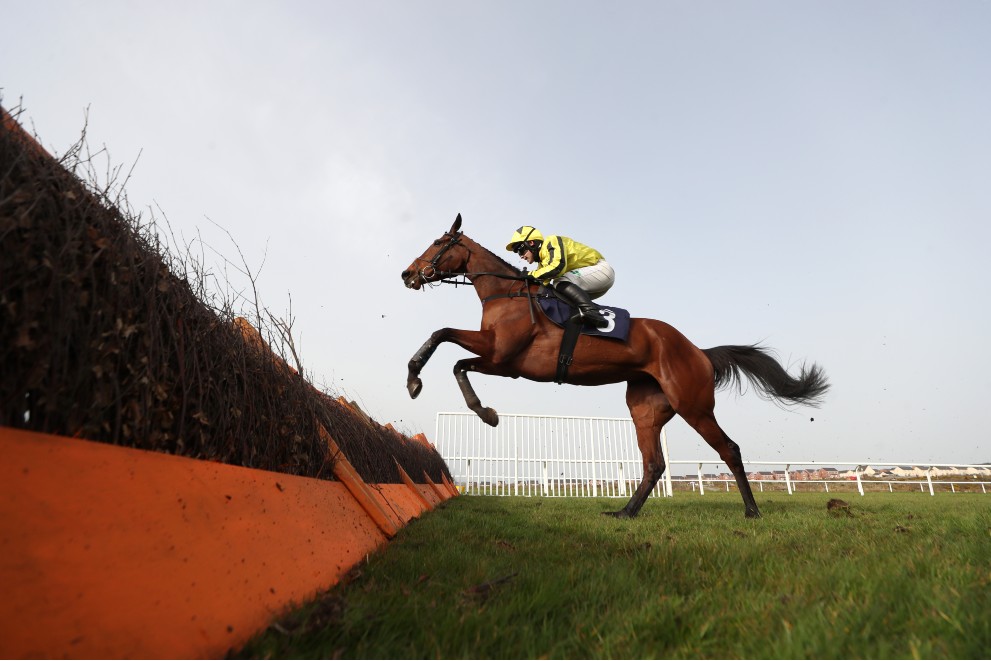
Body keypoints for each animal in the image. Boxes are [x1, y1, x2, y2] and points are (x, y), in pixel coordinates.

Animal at [400, 214, 829, 519]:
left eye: (438, 243)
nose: (408, 273)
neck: (508, 294)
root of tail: (698, 351)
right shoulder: (498, 356)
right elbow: (447, 344)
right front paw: (418, 380)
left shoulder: (503, 358)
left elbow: (450, 347)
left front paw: (478, 409)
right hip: (645, 407)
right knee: (654, 463)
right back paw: (626, 511)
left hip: (693, 404)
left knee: (730, 449)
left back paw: (752, 510)